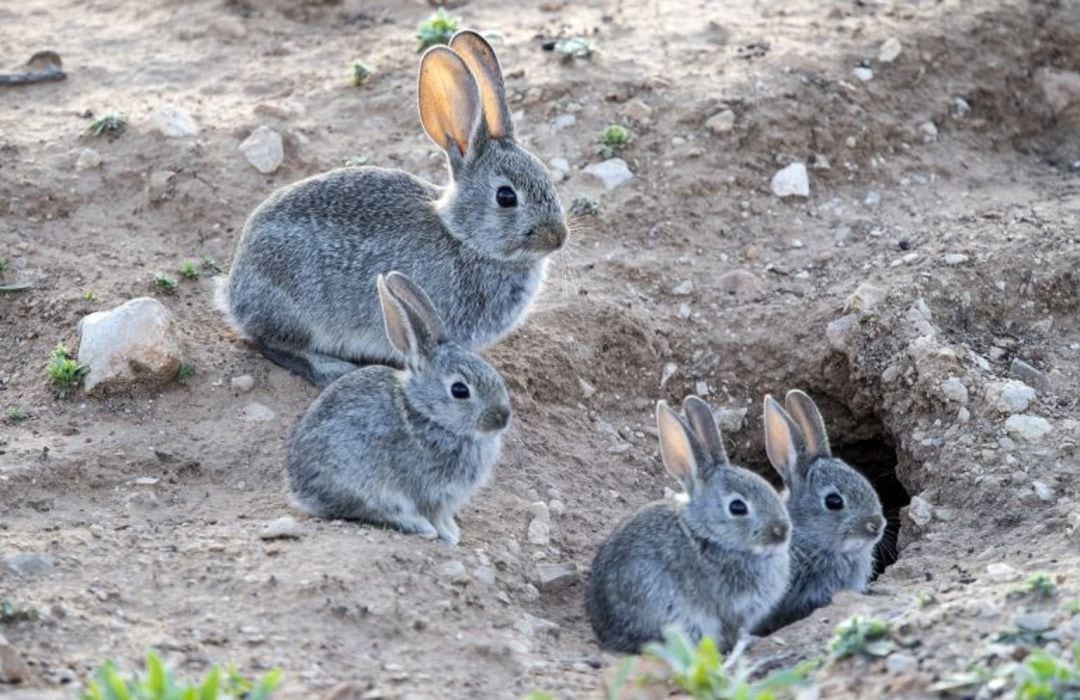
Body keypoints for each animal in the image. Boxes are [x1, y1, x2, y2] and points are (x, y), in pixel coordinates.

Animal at [221, 28, 574, 388]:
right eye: (506, 197)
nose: (558, 237)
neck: (464, 238)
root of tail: (233, 292)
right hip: (296, 307)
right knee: (271, 343)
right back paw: (331, 369)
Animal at [282, 268, 509, 546]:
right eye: (459, 390)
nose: (503, 417)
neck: (426, 413)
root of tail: (300, 491)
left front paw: (453, 531)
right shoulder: (431, 492)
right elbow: (435, 514)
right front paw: (448, 535)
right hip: (366, 484)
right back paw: (419, 526)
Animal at [587, 397, 790, 652]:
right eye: (737, 507)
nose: (782, 531)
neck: (707, 533)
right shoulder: (732, 609)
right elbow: (733, 630)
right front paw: (749, 641)